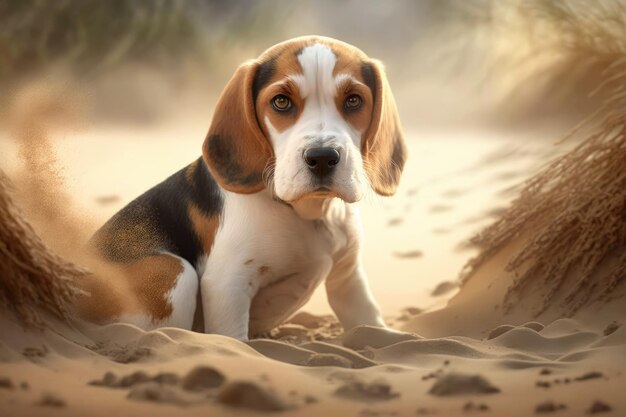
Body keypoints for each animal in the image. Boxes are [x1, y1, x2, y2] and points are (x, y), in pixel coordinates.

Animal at [81, 35, 404, 340]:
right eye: (281, 102)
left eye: (353, 100)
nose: (322, 157)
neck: (307, 212)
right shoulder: (227, 284)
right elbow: (234, 339)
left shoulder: (348, 279)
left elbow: (370, 324)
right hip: (171, 271)